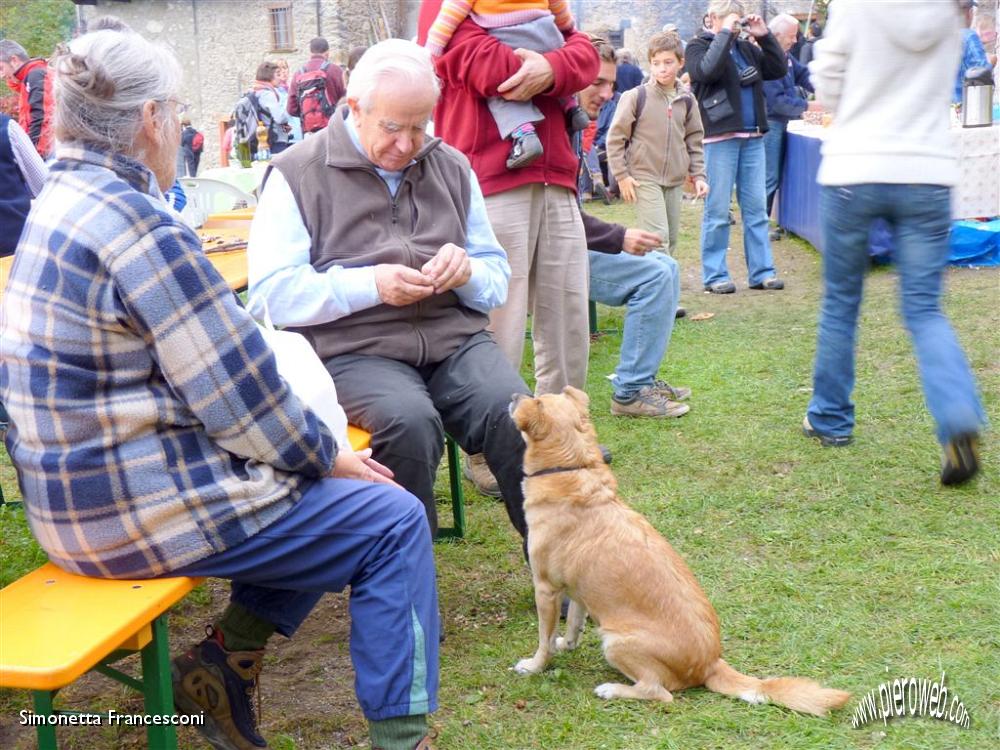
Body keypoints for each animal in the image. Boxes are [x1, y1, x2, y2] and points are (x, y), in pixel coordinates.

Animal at [512, 388, 848, 716]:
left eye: (537, 398)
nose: (515, 396)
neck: (571, 470)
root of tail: (710, 664)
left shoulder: (546, 589)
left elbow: (543, 641)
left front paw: (534, 666)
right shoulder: (579, 591)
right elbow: (573, 626)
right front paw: (566, 644)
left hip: (616, 642)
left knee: (659, 693)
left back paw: (612, 689)